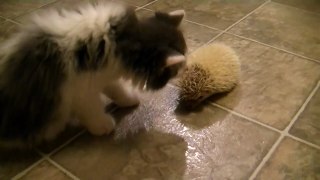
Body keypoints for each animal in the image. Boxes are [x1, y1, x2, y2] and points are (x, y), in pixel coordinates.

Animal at [0, 1, 188, 148]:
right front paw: (102, 125)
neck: (119, 42)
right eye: (176, 69)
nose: (186, 67)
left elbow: (117, 89)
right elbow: (92, 109)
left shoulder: (104, 76)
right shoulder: (80, 90)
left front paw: (129, 99)